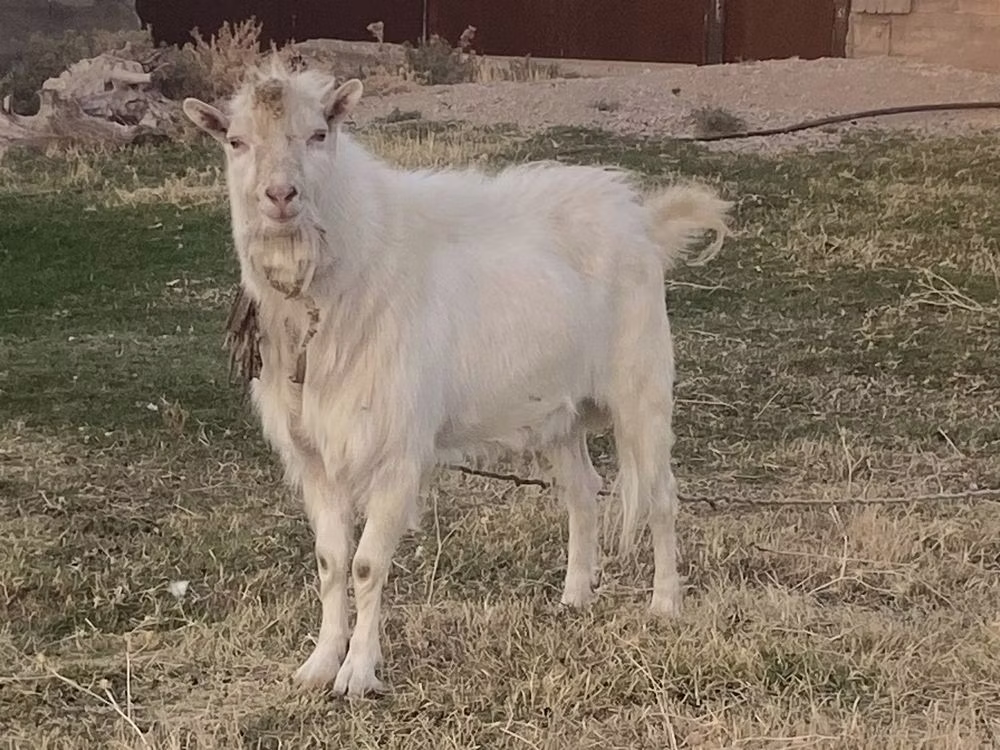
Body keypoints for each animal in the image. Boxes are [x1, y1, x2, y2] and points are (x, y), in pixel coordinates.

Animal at [182, 59, 731, 697]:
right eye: (235, 141)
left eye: (320, 133)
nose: (279, 196)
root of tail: (640, 220)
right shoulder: (315, 452)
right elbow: (330, 562)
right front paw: (318, 664)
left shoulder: (398, 450)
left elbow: (366, 565)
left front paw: (358, 673)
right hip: (559, 410)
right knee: (582, 491)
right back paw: (574, 595)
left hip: (641, 385)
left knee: (662, 494)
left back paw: (666, 604)